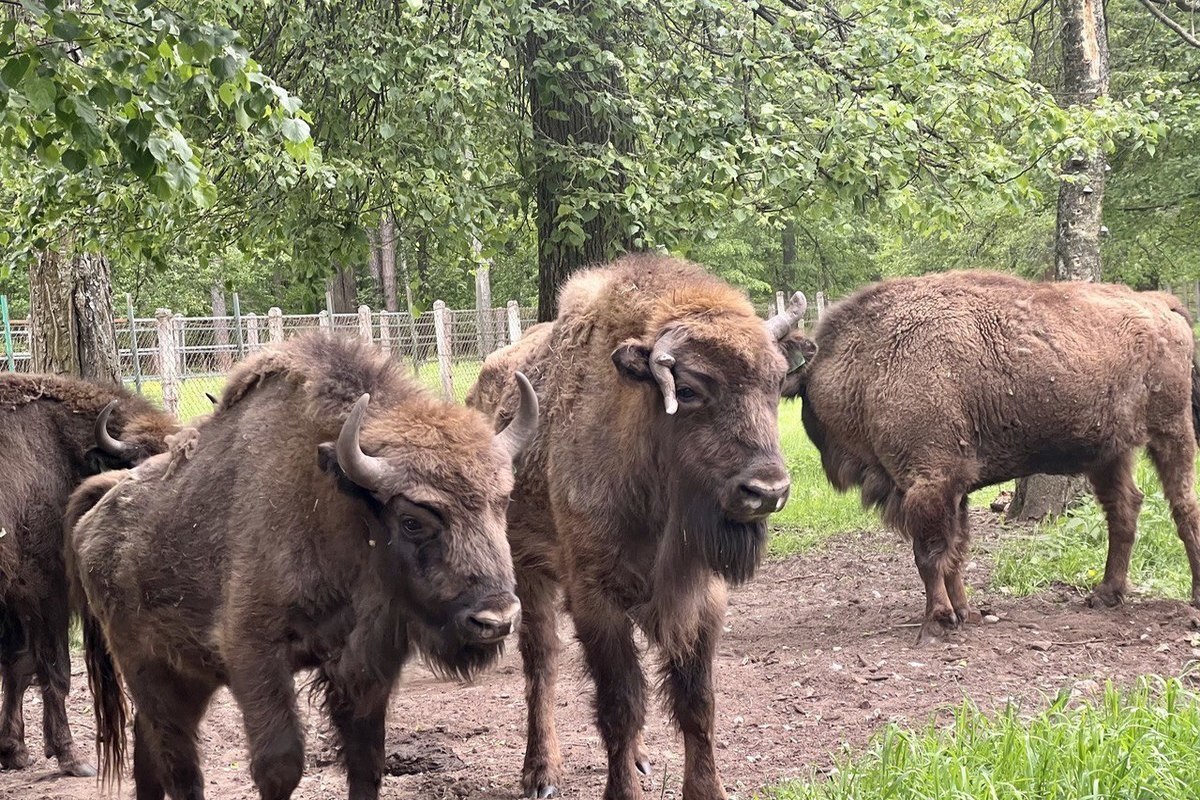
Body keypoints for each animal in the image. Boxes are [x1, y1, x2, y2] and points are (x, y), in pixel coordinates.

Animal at [0, 376, 177, 777]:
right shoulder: (44, 593)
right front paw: (72, 758)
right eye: (136, 471)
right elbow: (55, 671)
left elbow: (18, 667)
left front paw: (14, 752)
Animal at [65, 333, 535, 800]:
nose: (497, 619)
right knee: (178, 764)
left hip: (187, 676)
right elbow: (280, 765)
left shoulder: (365, 666)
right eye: (411, 520)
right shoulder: (254, 655)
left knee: (149, 747)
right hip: (151, 670)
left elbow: (367, 761)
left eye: (503, 500)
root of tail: (95, 519)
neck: (342, 509)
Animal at [468, 255, 806, 800]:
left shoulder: (701, 598)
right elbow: (620, 706)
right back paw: (541, 773)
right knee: (541, 662)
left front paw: (706, 790)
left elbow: (696, 704)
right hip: (528, 570)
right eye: (686, 390)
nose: (767, 491)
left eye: (776, 383)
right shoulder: (596, 599)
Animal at [787, 272, 1200, 647]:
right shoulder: (955, 490)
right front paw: (963, 612)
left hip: (1171, 430)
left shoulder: (929, 482)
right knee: (1124, 510)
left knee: (1184, 506)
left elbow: (929, 555)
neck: (868, 360)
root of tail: (1160, 303)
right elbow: (954, 552)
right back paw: (1106, 594)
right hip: (1109, 453)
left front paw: (937, 623)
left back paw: (1192, 600)